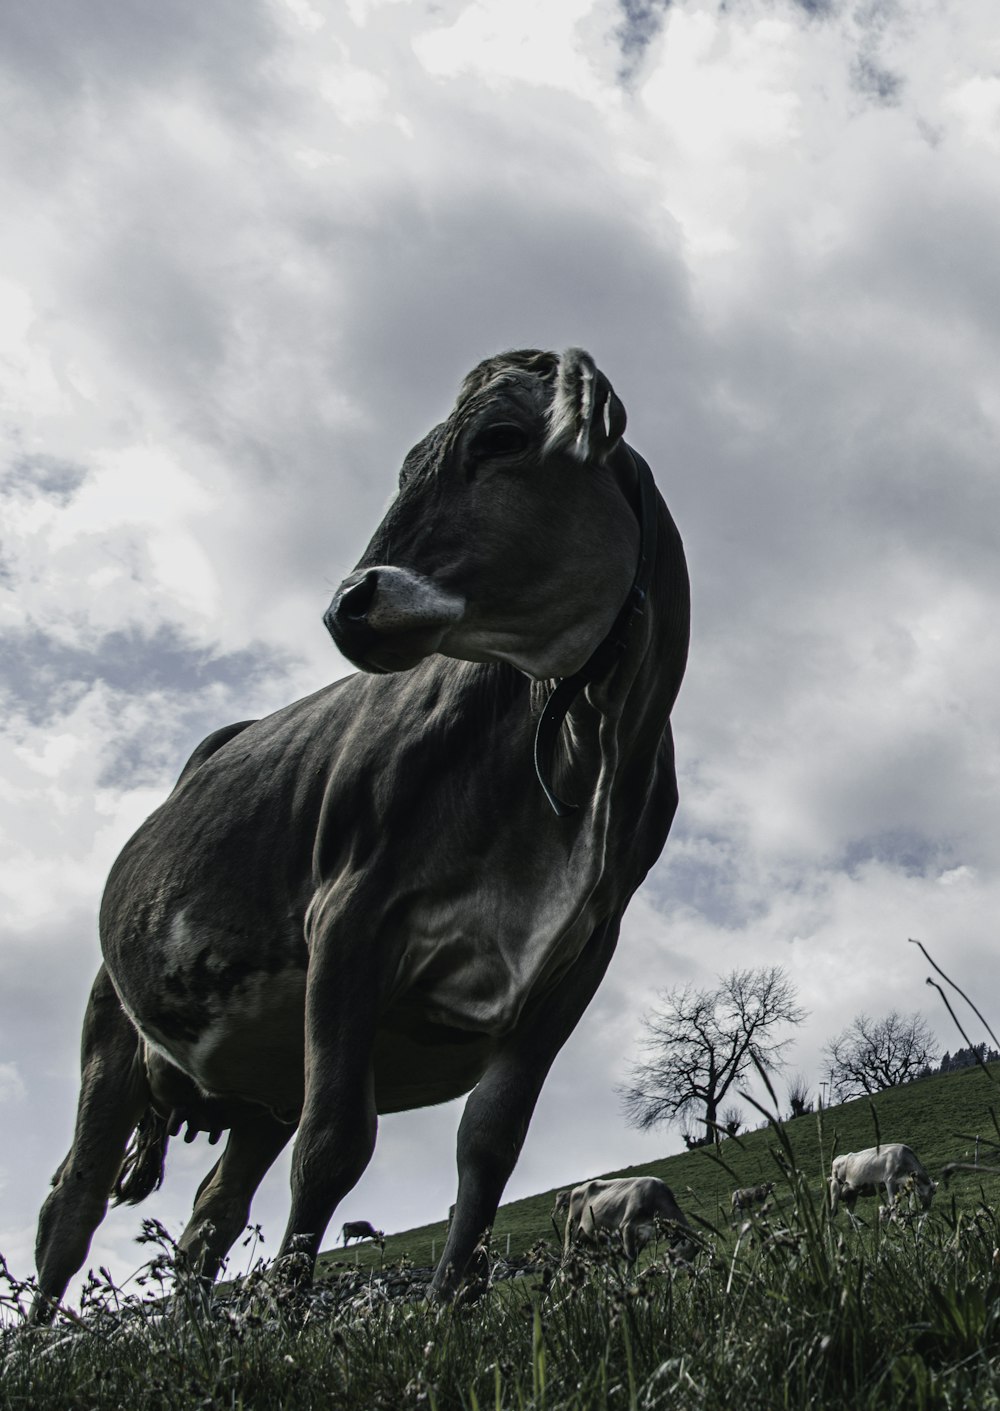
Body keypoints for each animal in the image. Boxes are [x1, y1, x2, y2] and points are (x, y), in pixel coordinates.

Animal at [558, 1173, 691, 1264]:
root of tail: (575, 1189)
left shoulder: (644, 1234)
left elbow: (634, 1259)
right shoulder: (627, 1226)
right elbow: (630, 1258)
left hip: (589, 1241)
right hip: (571, 1229)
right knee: (565, 1259)